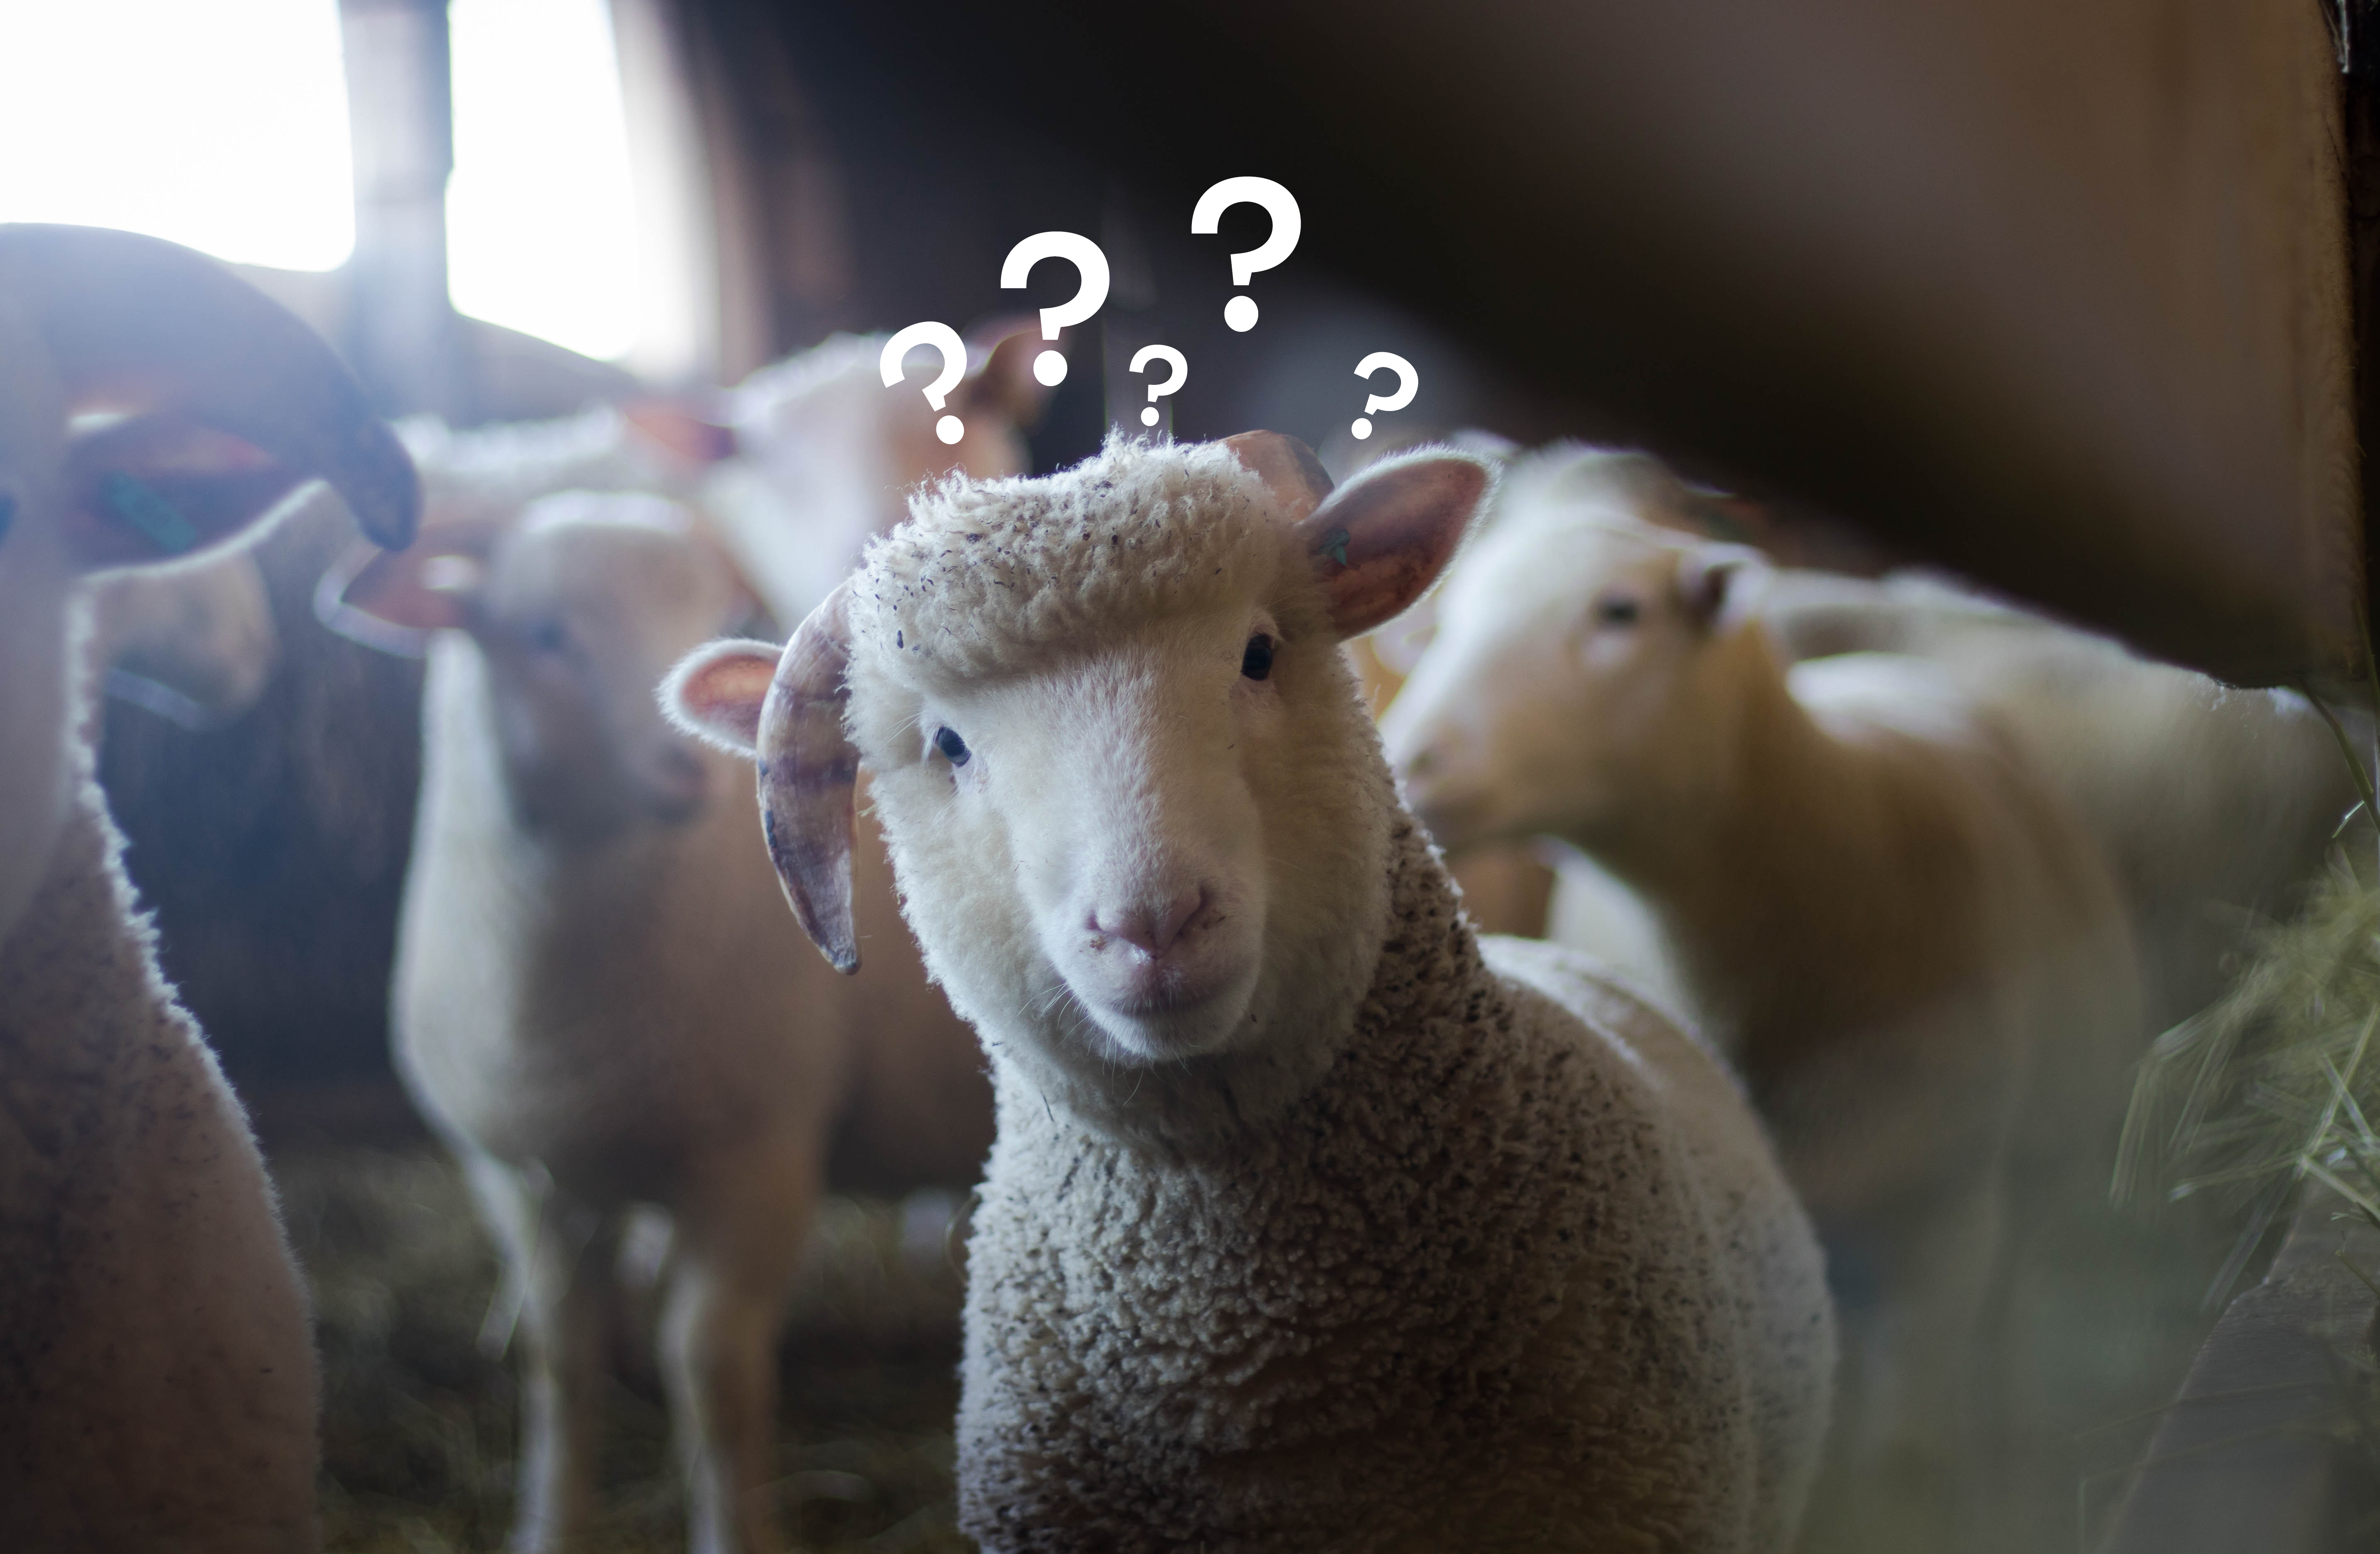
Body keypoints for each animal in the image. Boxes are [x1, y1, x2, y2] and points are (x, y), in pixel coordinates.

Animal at [322, 489, 988, 1554]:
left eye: (712, 612)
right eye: (546, 635)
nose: (689, 768)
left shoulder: (760, 1157)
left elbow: (709, 1369)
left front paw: (735, 1533)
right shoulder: (522, 1176)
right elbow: (559, 1357)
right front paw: (549, 1526)